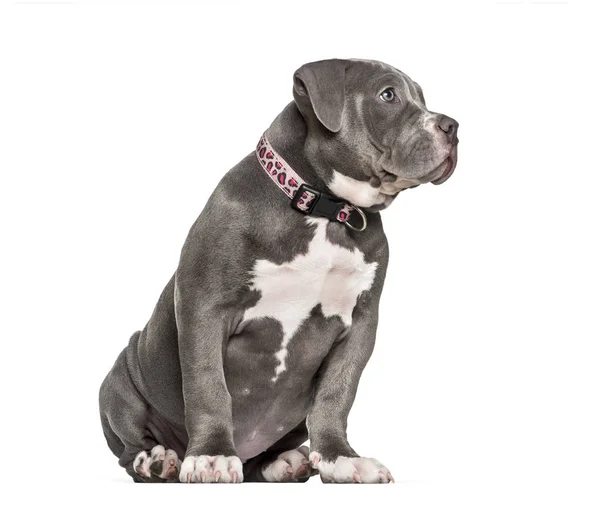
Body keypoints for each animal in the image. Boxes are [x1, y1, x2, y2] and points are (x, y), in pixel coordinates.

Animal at [99, 57, 460, 482]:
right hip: (121, 376)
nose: (453, 126)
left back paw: (283, 462)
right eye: (388, 95)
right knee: (129, 449)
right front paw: (211, 456)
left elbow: (337, 394)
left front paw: (341, 458)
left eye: (421, 97)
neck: (324, 209)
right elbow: (207, 385)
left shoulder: (361, 323)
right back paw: (158, 459)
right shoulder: (203, 306)